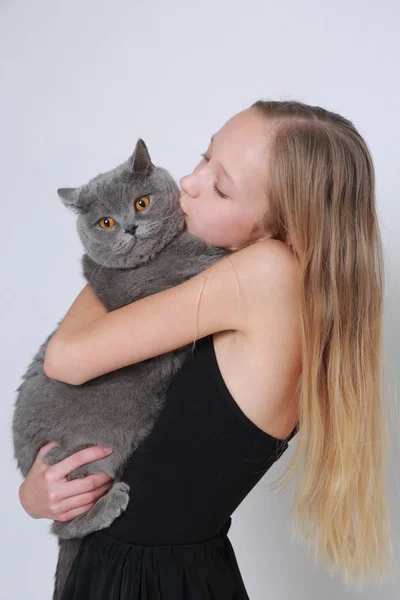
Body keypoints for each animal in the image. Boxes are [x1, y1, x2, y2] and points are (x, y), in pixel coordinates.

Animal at [10, 138, 227, 596]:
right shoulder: (137, 290)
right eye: (105, 223)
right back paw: (108, 505)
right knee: (61, 526)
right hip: (85, 463)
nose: (129, 228)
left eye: (141, 202)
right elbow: (178, 261)